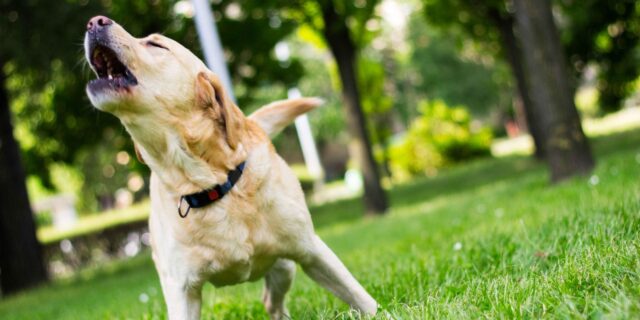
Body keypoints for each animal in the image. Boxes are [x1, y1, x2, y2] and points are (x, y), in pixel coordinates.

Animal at [82, 15, 378, 318]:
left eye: (155, 44)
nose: (94, 21)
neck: (210, 185)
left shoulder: (311, 249)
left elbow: (362, 298)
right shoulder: (181, 289)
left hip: (285, 266)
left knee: (273, 299)